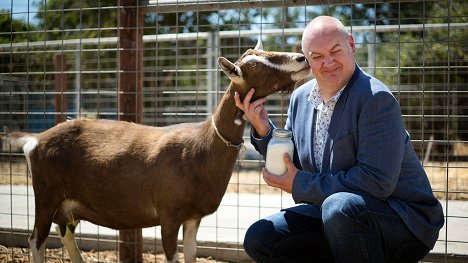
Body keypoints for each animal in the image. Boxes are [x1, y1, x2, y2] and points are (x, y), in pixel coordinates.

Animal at [2, 39, 310, 263]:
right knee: (36, 239)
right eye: (255, 65)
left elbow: (190, 255)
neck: (202, 145)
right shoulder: (169, 214)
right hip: (46, 194)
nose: (302, 58)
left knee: (64, 232)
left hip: (67, 203)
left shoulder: (193, 217)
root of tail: (35, 140)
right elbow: (173, 256)